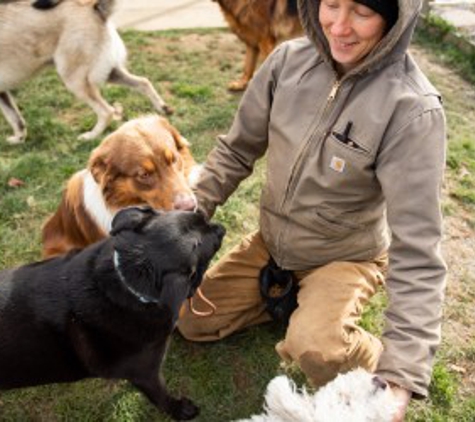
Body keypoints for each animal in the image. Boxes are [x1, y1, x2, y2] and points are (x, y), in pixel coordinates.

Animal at [0, 0, 171, 144]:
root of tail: (93, 7)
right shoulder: (3, 94)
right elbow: (15, 119)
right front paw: (19, 139)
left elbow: (13, 117)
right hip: (109, 73)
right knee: (143, 82)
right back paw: (163, 108)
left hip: (75, 81)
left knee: (106, 111)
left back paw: (91, 136)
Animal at [0, 206, 225, 420]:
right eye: (210, 244)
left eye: (202, 217)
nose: (221, 228)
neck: (126, 279)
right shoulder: (147, 375)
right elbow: (160, 397)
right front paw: (180, 411)